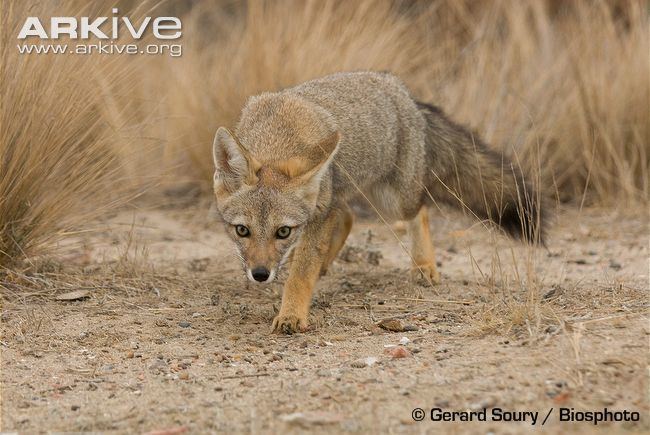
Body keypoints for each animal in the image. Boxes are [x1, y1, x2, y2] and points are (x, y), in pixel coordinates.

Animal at [211, 70, 540, 334]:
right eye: (242, 231)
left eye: (283, 232)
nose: (260, 274)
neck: (277, 136)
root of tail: (402, 91)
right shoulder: (319, 210)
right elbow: (307, 261)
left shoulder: (318, 215)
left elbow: (301, 275)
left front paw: (291, 314)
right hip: (345, 196)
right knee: (347, 217)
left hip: (391, 201)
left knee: (419, 210)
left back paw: (424, 265)